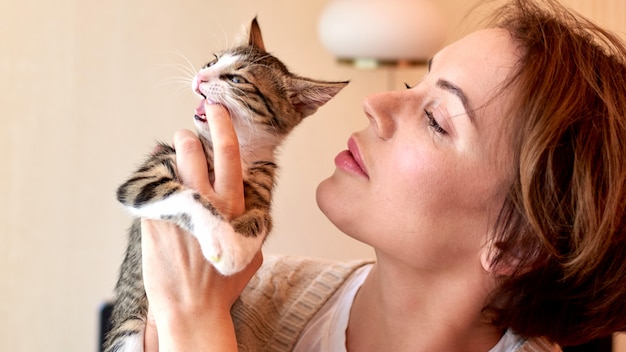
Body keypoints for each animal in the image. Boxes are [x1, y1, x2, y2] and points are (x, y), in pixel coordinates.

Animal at [103, 18, 346, 352]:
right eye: (212, 61)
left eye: (236, 78)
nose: (199, 76)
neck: (238, 151)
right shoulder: (146, 176)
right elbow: (186, 196)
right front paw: (223, 243)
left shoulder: (263, 186)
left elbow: (263, 220)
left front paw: (238, 249)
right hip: (126, 331)